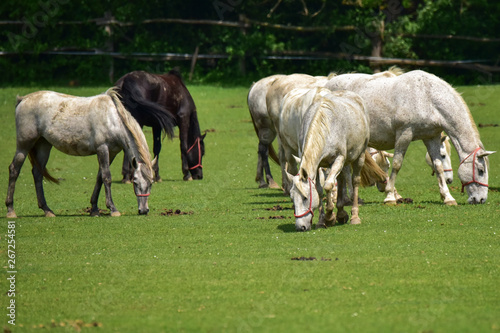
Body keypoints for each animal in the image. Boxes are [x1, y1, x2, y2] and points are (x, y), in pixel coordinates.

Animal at [4, 88, 155, 218]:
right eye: (135, 181)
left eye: (151, 183)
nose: (144, 210)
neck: (111, 120)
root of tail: (23, 99)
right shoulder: (102, 149)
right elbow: (107, 177)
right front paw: (113, 209)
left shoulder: (111, 153)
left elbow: (99, 178)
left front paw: (94, 209)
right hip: (24, 145)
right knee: (14, 170)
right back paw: (11, 210)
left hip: (43, 146)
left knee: (37, 173)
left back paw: (47, 210)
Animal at [282, 87, 386, 230]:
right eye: (292, 198)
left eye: (305, 198)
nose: (300, 227)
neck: (325, 127)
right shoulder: (319, 164)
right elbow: (320, 190)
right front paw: (322, 220)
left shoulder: (338, 158)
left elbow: (328, 185)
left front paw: (330, 216)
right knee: (341, 179)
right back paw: (341, 213)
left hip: (358, 157)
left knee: (354, 181)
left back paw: (354, 216)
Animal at [326, 69, 494, 204]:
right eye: (480, 170)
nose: (481, 199)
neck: (427, 97)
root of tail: (327, 84)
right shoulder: (404, 134)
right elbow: (397, 164)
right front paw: (390, 197)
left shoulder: (431, 137)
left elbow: (438, 166)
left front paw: (448, 197)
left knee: (345, 169)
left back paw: (348, 199)